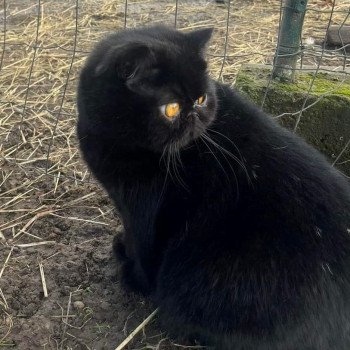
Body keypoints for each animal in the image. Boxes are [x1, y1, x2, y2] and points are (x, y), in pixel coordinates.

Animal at [78, 26, 350, 348]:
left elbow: (141, 246)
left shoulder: (141, 206)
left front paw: (132, 273)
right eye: (171, 108)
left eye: (201, 98)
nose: (194, 116)